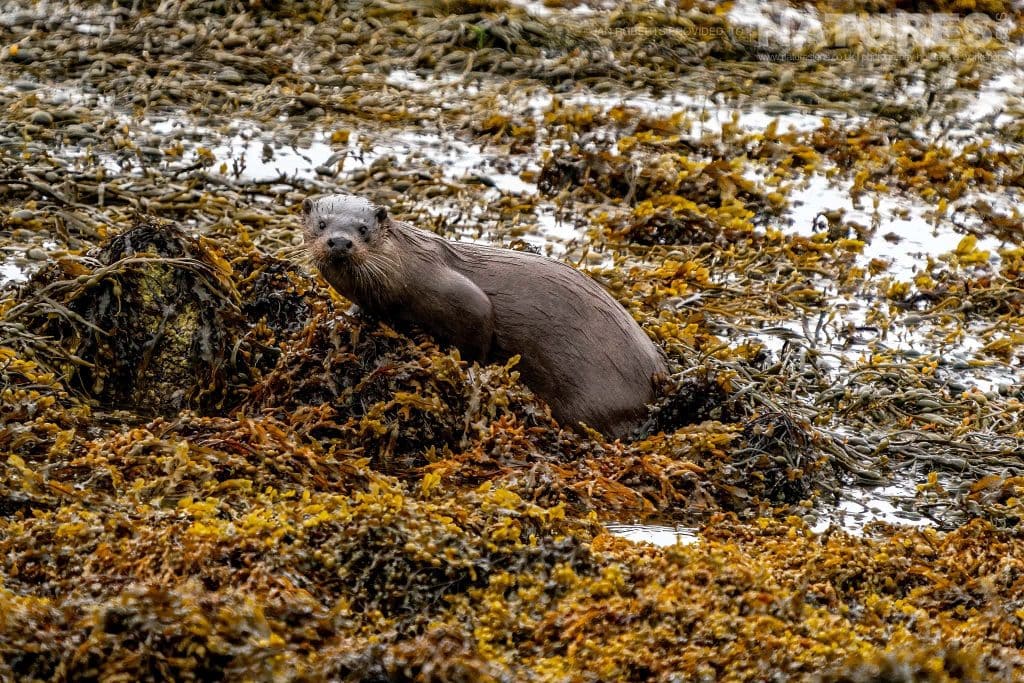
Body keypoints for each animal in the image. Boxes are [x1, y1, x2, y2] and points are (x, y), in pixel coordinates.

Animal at [302, 194, 668, 440]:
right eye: (321, 224)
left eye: (363, 229)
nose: (340, 241)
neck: (405, 268)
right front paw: (344, 318)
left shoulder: (462, 297)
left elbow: (478, 331)